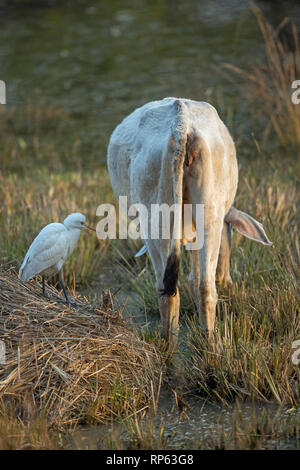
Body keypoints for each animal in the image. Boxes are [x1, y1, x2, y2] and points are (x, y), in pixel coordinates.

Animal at [106, 97, 272, 348]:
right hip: (206, 216)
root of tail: (181, 121)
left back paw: (170, 344)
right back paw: (205, 345)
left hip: (157, 221)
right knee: (202, 288)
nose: (227, 281)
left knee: (170, 289)